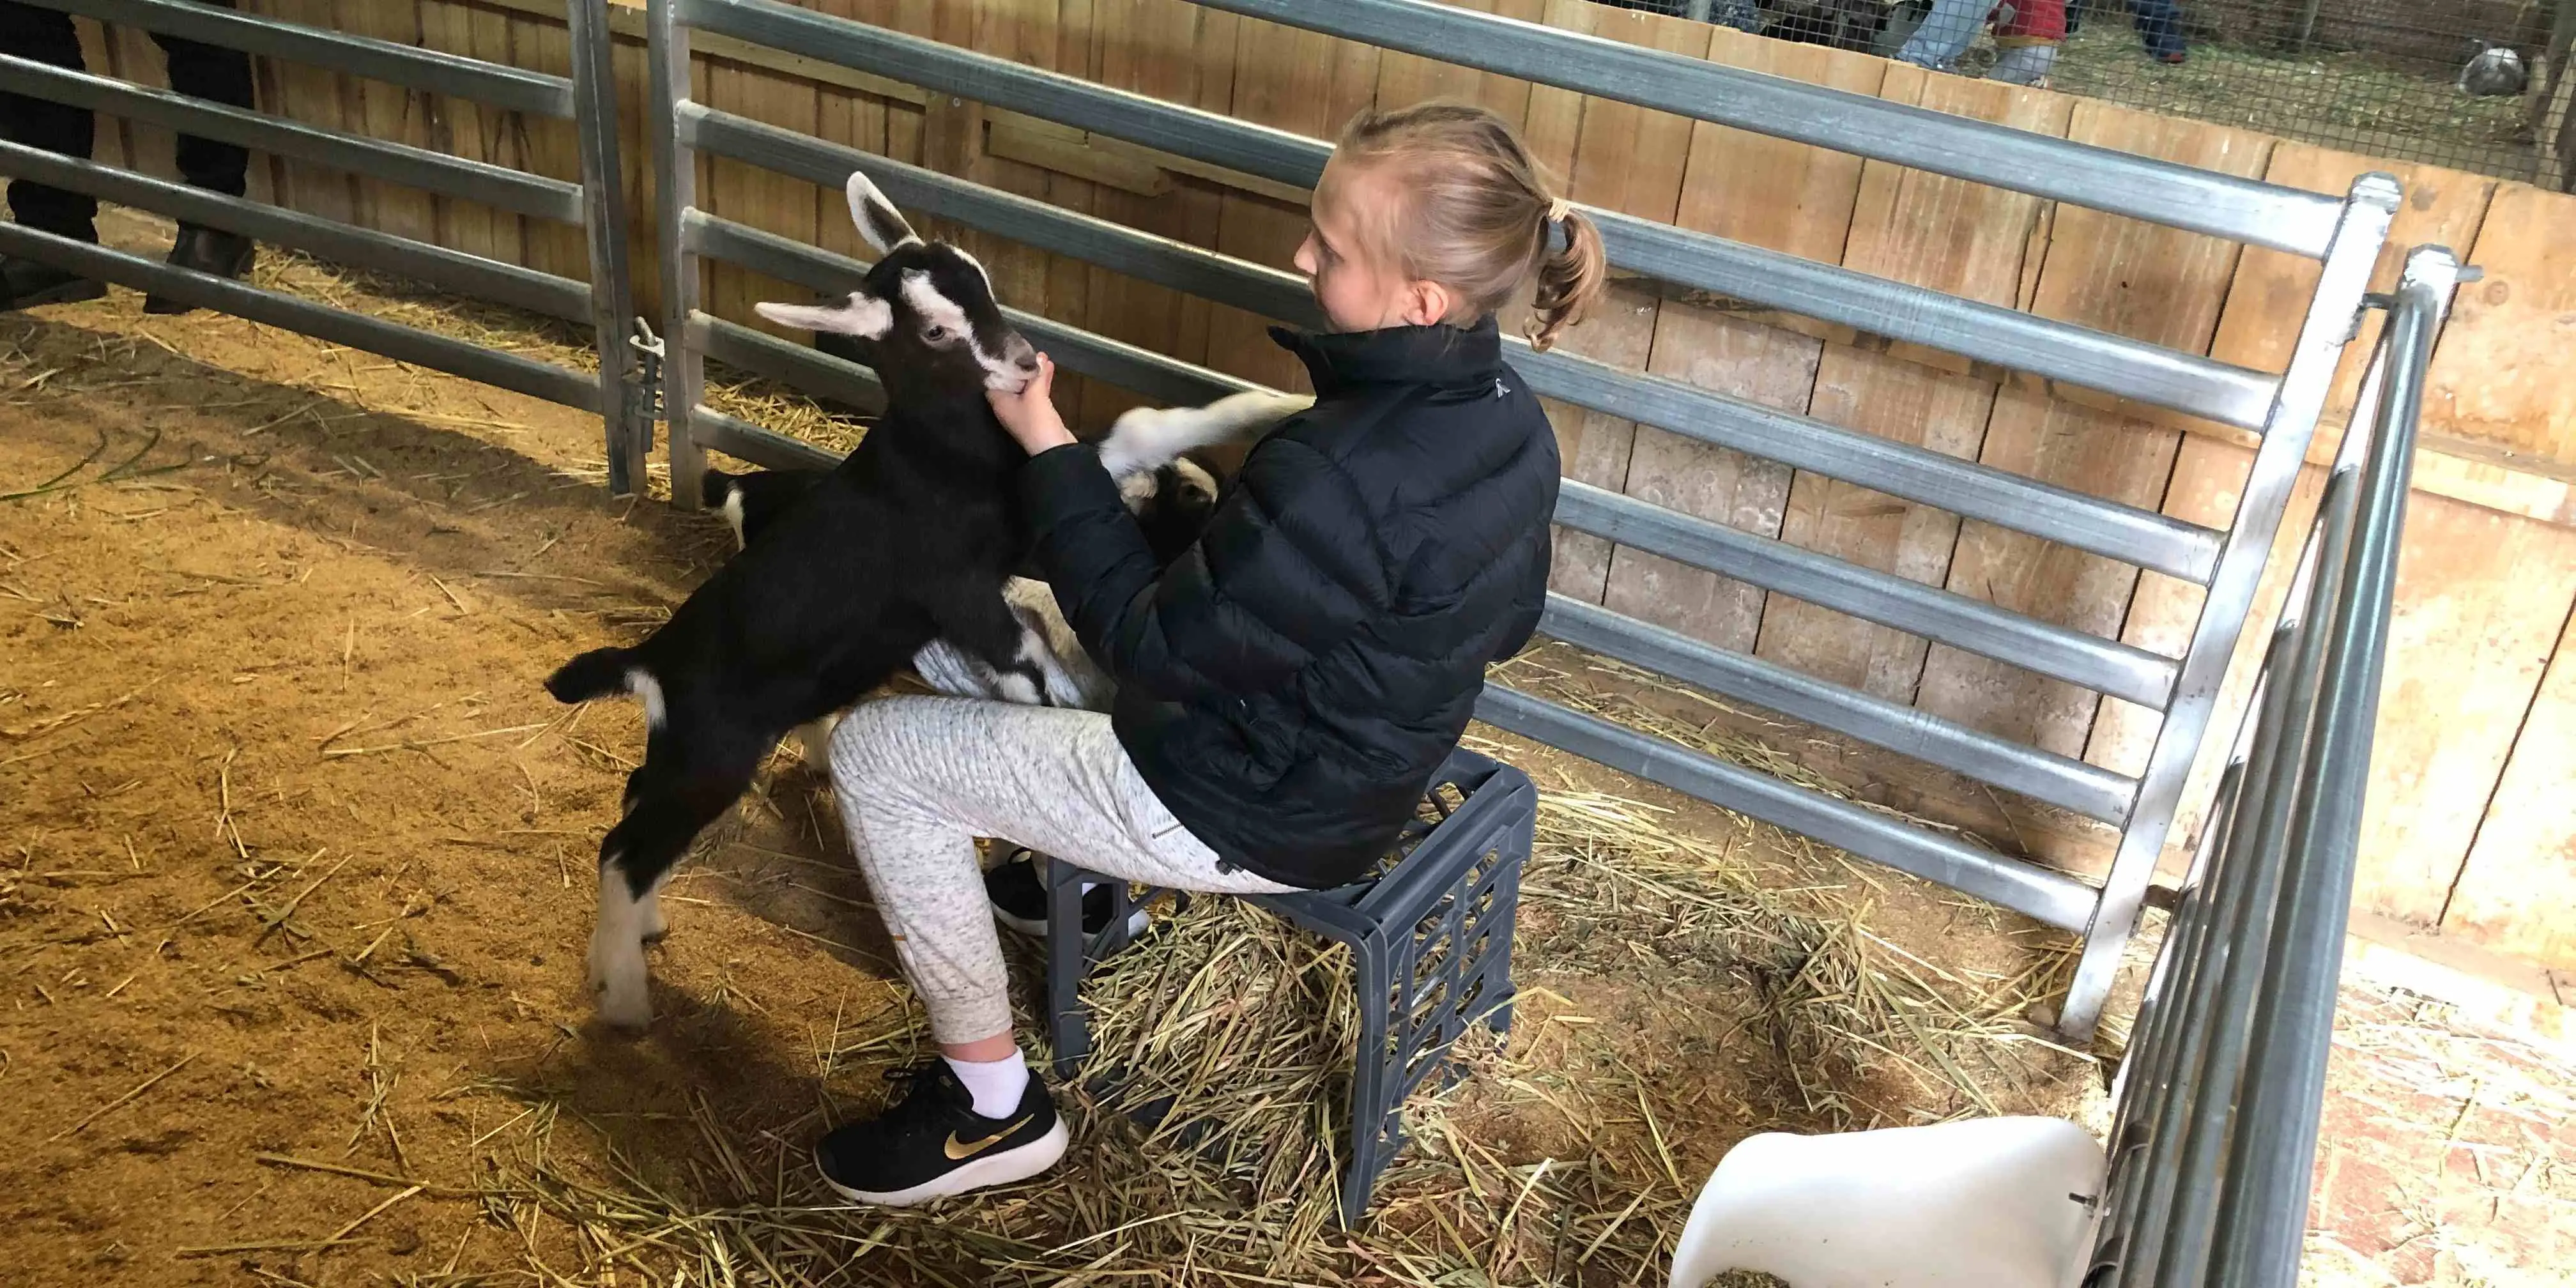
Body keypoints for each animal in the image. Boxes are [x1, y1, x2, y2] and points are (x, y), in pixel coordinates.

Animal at [546, 171, 1056, 1025]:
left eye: (983, 281)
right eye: (934, 333)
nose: (1022, 364)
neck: (936, 459)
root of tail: (651, 661)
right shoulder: (958, 592)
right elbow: (1024, 662)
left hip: (683, 752)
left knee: (635, 797)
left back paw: (644, 930)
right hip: (713, 758)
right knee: (624, 850)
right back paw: (623, 996)